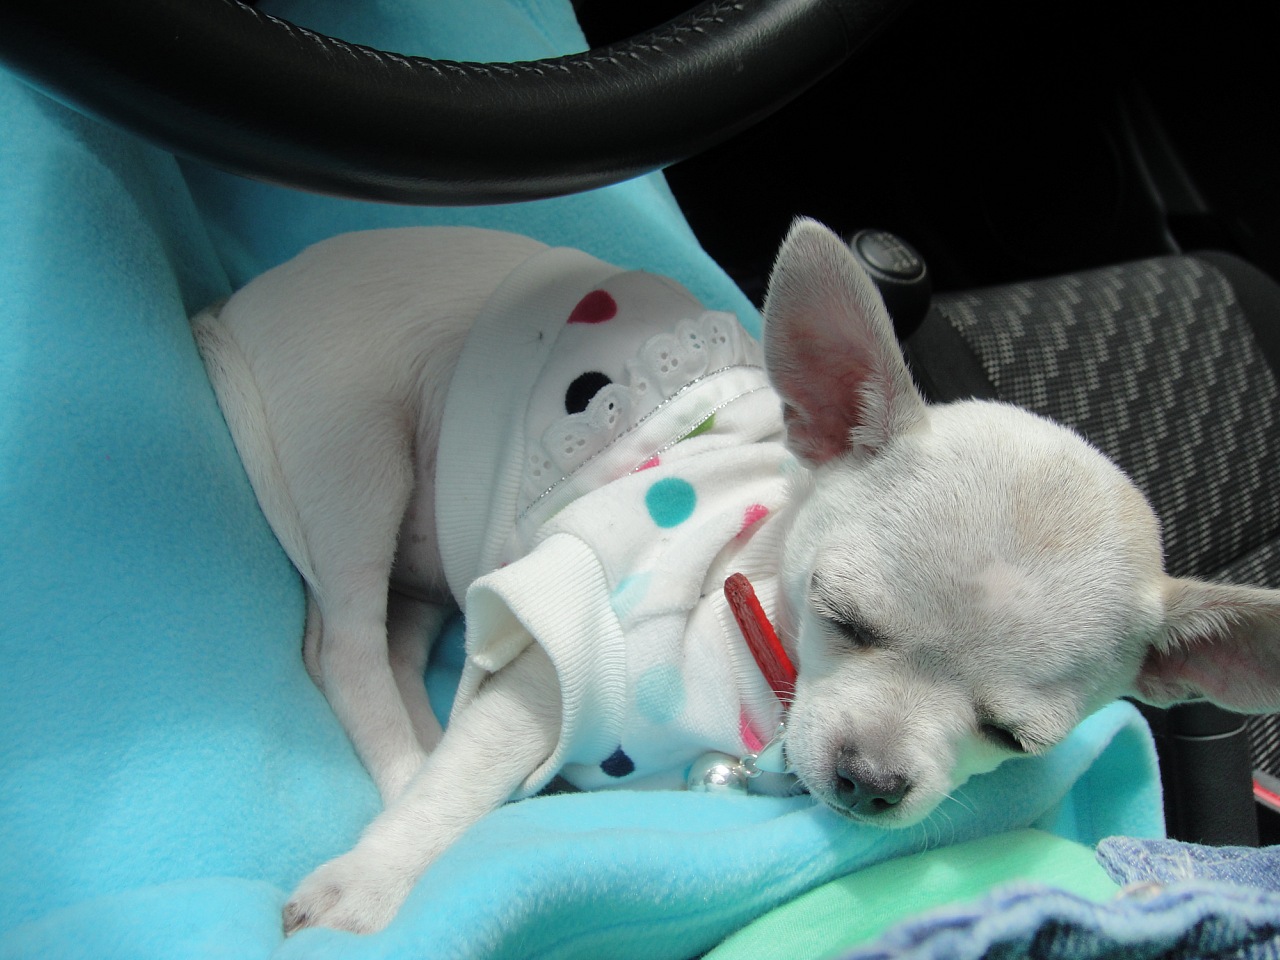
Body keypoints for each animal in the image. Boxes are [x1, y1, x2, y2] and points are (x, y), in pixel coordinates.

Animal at [193, 218, 1280, 934]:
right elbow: (472, 771)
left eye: (1012, 738)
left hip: (425, 556)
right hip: (353, 449)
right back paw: (402, 766)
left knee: (400, 629)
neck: (756, 670)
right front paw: (371, 882)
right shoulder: (560, 643)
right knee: (343, 643)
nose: (869, 782)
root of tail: (235, 303)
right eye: (842, 617)